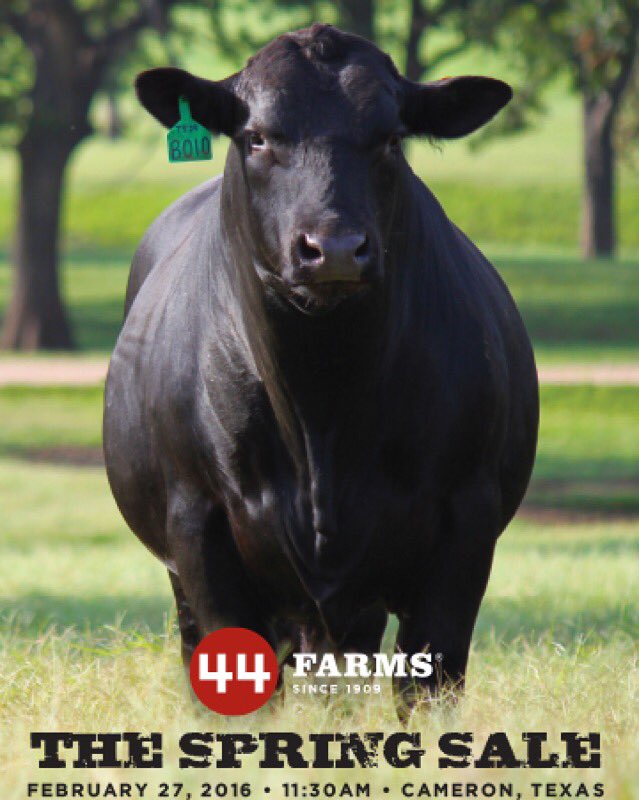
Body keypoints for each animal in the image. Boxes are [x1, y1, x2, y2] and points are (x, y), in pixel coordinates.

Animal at [103, 23, 538, 715]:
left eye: (390, 137)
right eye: (256, 136)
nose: (332, 248)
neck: (321, 411)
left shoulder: (465, 525)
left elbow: (429, 682)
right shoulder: (197, 526)